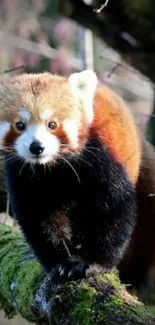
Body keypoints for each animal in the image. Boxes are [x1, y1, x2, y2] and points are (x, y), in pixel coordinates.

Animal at [0, 69, 143, 284]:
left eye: (52, 124)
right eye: (19, 125)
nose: (37, 147)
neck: (51, 168)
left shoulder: (99, 159)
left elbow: (114, 208)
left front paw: (91, 263)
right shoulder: (22, 175)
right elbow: (40, 218)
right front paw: (60, 262)